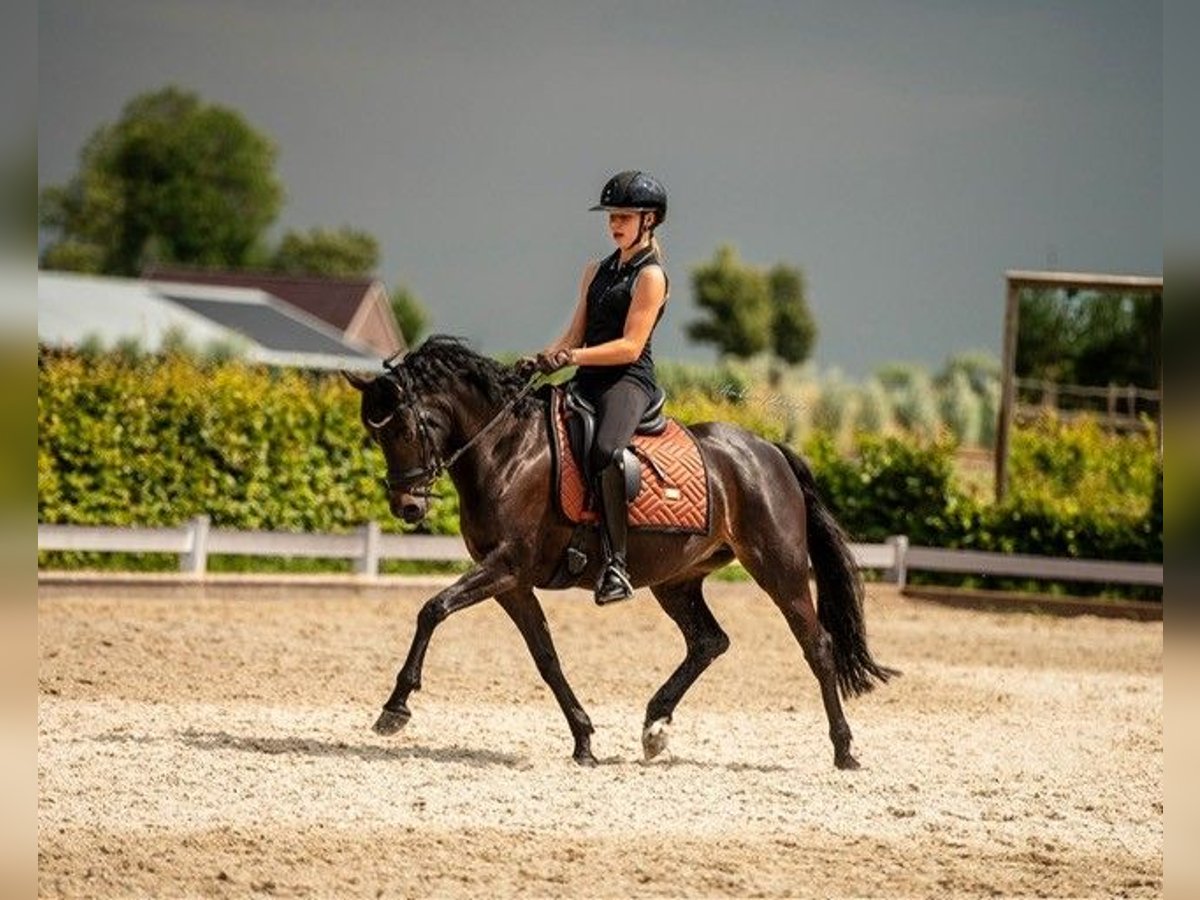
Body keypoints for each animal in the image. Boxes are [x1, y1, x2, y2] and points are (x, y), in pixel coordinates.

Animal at [343, 336, 897, 772]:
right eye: (374, 432)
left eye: (404, 429)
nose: (408, 507)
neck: (506, 451)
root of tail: (767, 450)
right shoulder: (512, 582)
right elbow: (546, 657)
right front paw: (584, 741)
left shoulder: (504, 566)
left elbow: (432, 609)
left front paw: (395, 707)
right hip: (675, 580)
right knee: (708, 642)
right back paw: (655, 726)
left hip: (778, 568)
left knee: (817, 646)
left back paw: (844, 751)